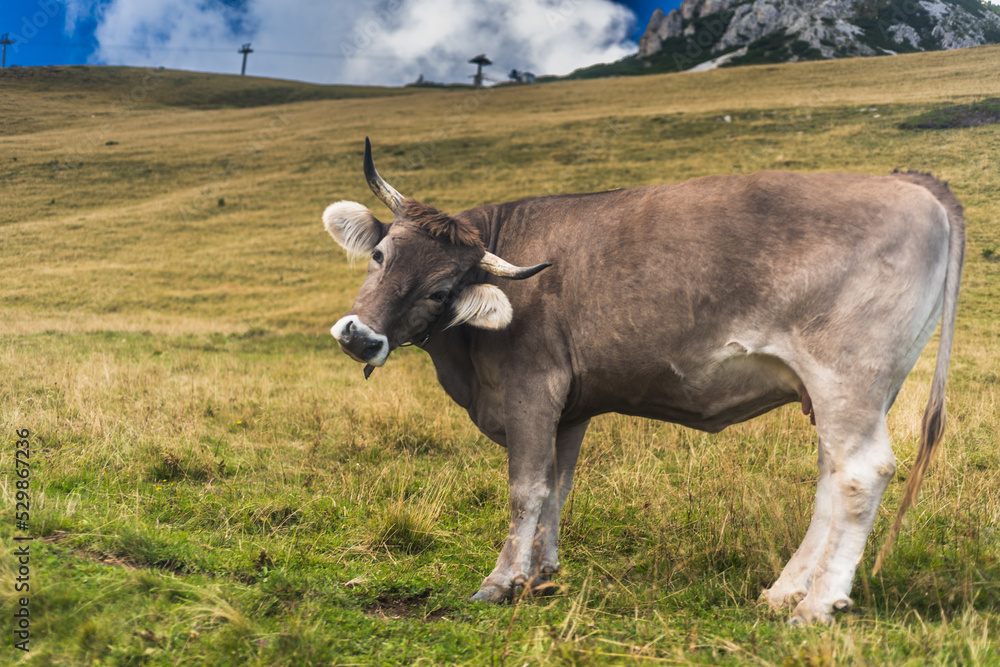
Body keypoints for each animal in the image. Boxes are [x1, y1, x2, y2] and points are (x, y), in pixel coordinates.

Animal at [320, 138, 960, 624]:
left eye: (439, 291)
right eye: (379, 255)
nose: (360, 337)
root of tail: (912, 183)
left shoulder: (531, 389)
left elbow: (526, 489)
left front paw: (502, 581)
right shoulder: (570, 408)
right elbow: (557, 486)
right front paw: (542, 575)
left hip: (848, 377)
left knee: (860, 473)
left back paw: (818, 605)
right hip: (847, 392)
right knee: (831, 474)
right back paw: (785, 592)